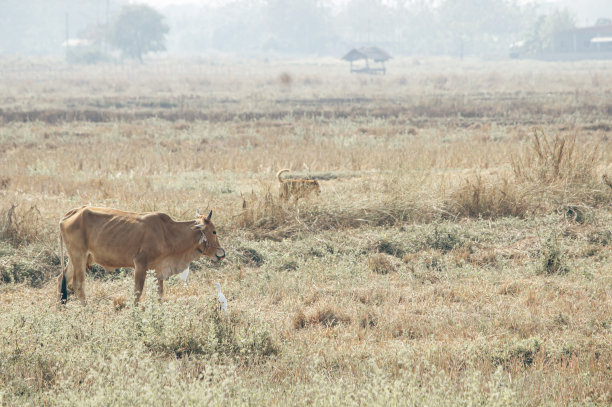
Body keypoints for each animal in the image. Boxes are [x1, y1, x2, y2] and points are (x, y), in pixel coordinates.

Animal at [56, 207, 225, 306]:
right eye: (214, 231)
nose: (222, 253)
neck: (167, 233)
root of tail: (71, 213)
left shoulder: (158, 270)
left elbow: (160, 293)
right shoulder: (140, 265)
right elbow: (138, 292)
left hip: (75, 258)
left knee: (62, 278)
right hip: (79, 255)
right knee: (78, 284)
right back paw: (87, 309)